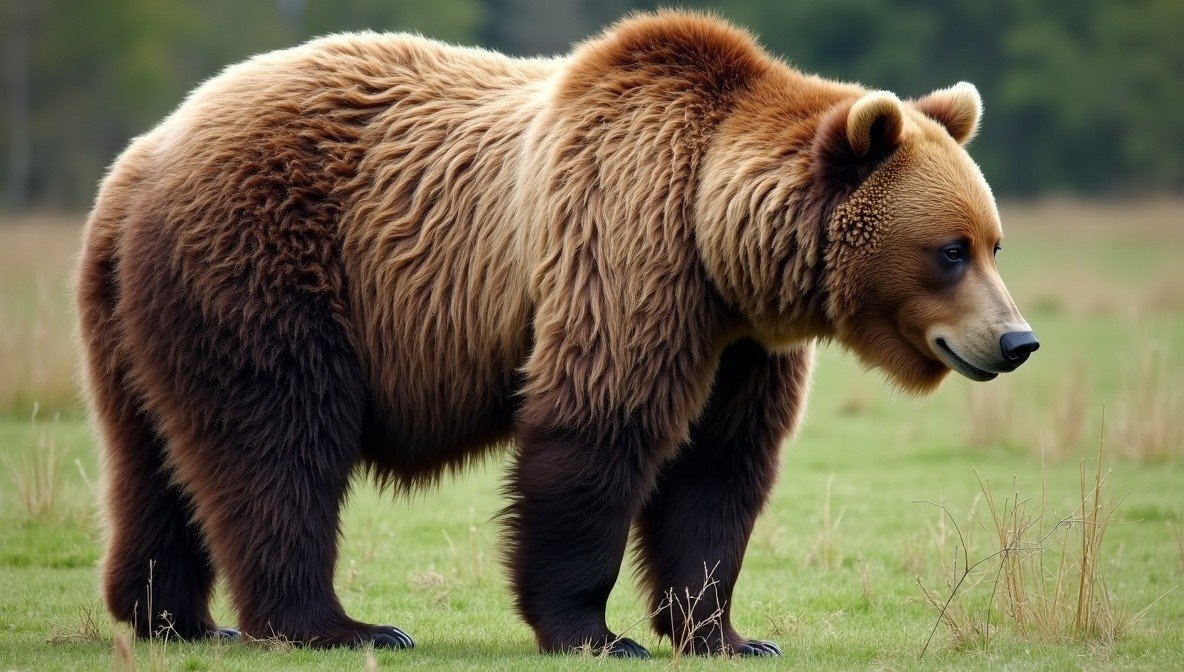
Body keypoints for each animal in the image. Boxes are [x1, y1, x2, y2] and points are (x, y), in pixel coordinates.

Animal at [77, 10, 1038, 658]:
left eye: (994, 241)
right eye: (950, 250)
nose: (1017, 341)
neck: (717, 240)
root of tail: (144, 155)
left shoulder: (739, 345)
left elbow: (721, 468)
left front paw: (725, 631)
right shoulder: (626, 249)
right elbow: (600, 431)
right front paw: (593, 629)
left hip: (137, 317)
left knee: (152, 457)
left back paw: (173, 615)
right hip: (268, 266)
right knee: (278, 442)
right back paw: (339, 624)